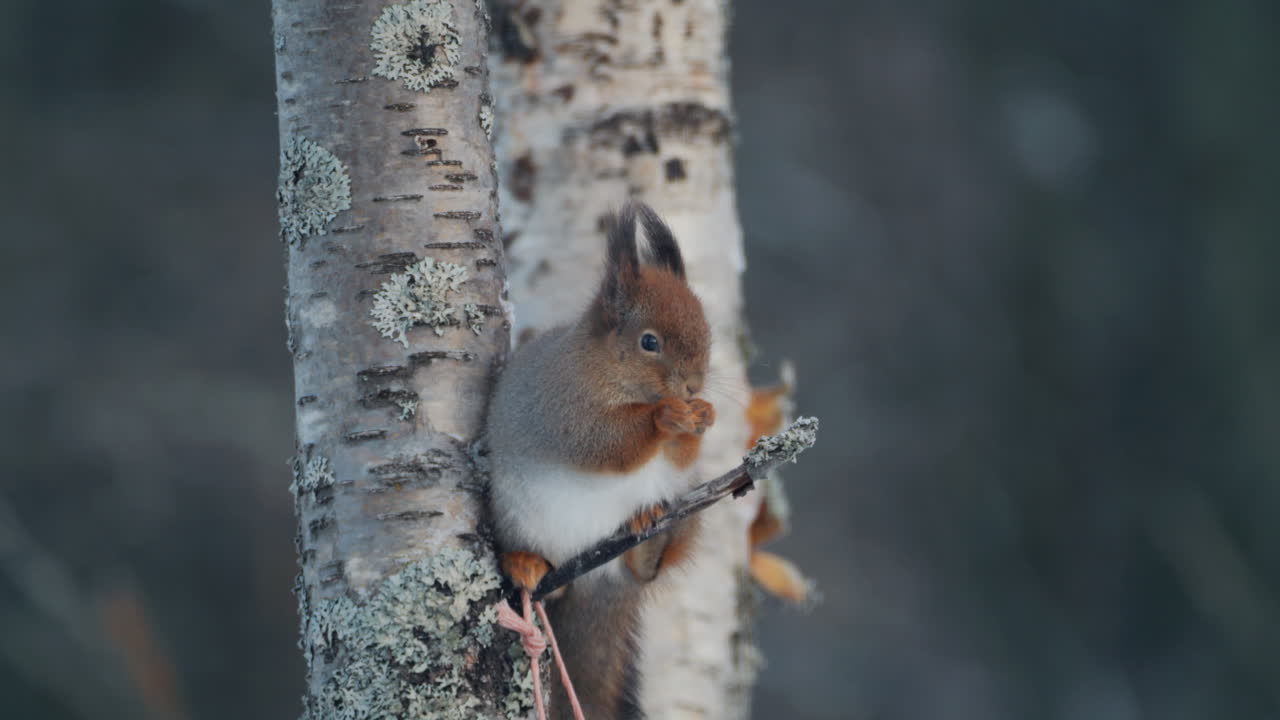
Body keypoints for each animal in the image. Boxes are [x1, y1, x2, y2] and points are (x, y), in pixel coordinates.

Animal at [486, 202, 715, 719]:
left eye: (706, 332)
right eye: (649, 342)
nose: (693, 386)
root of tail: (597, 579)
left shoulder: (676, 465)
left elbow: (678, 457)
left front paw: (702, 416)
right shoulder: (566, 407)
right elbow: (605, 444)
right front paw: (666, 416)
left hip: (679, 516)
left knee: (645, 571)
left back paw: (647, 530)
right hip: (515, 514)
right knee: (548, 579)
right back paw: (527, 565)